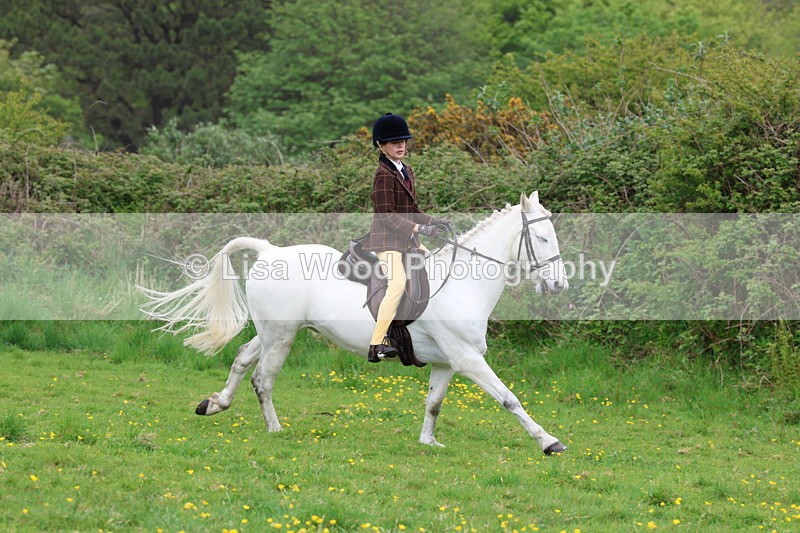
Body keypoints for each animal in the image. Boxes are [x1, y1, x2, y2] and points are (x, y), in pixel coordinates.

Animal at [141, 191, 570, 455]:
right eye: (542, 239)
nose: (559, 285)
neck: (463, 283)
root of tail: (269, 250)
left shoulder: (447, 363)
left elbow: (434, 404)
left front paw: (428, 442)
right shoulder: (467, 359)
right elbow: (509, 398)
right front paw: (549, 441)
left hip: (274, 332)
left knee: (244, 357)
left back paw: (215, 404)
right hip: (281, 337)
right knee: (262, 378)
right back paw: (276, 430)